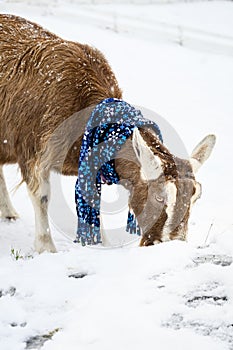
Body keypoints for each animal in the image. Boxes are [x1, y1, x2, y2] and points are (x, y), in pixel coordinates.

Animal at [0, 14, 217, 252]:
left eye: (195, 197)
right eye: (159, 197)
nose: (172, 245)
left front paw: (102, 243)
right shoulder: (32, 151)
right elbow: (42, 197)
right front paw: (46, 248)